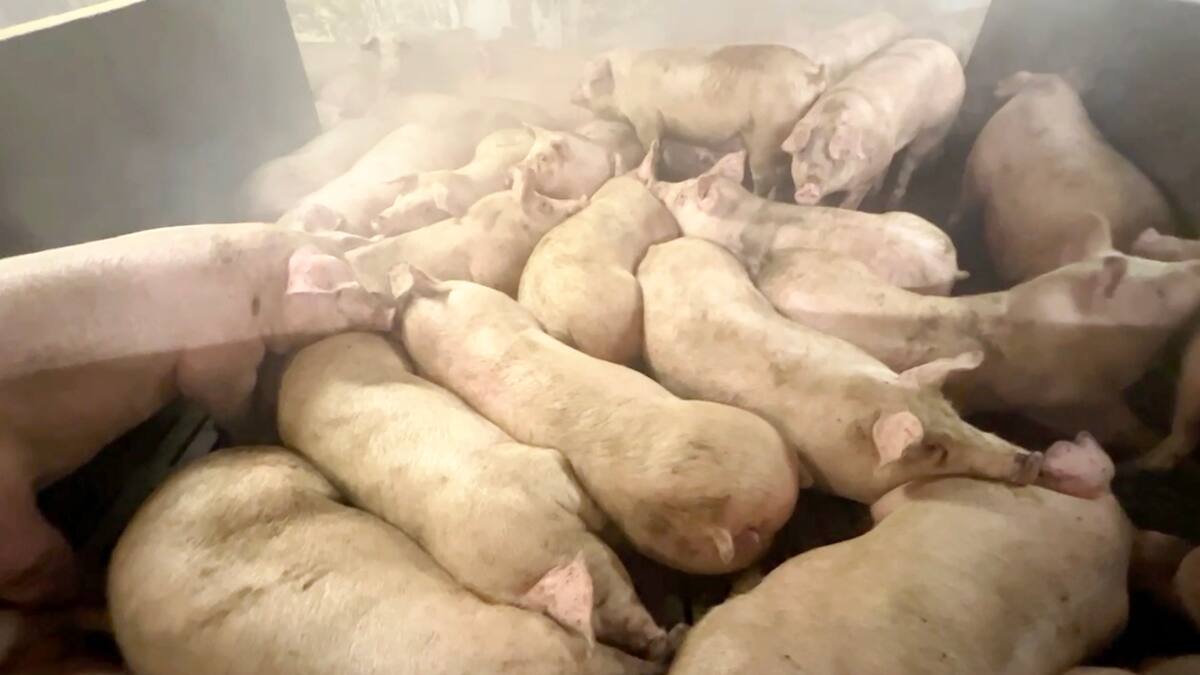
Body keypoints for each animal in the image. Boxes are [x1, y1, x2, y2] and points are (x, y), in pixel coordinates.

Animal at [0, 223, 392, 605]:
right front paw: (253, 433)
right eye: (346, 289)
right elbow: (232, 403)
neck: (258, 293)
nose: (391, 306)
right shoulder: (216, 364)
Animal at [571, 45, 826, 198]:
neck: (623, 85)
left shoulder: (646, 119)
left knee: (765, 176)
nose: (571, 94)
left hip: (768, 131)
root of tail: (814, 72)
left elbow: (652, 146)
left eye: (590, 79)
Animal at [756, 249, 1200, 450]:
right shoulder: (1065, 398)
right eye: (1158, 288)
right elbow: (1118, 425)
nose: (1194, 262)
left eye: (1154, 261)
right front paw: (1151, 438)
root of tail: (774, 261)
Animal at [782, 39, 965, 209]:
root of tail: (951, 53)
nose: (808, 188)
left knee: (911, 162)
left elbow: (851, 202)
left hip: (935, 128)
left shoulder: (865, 179)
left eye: (837, 156)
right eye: (803, 151)